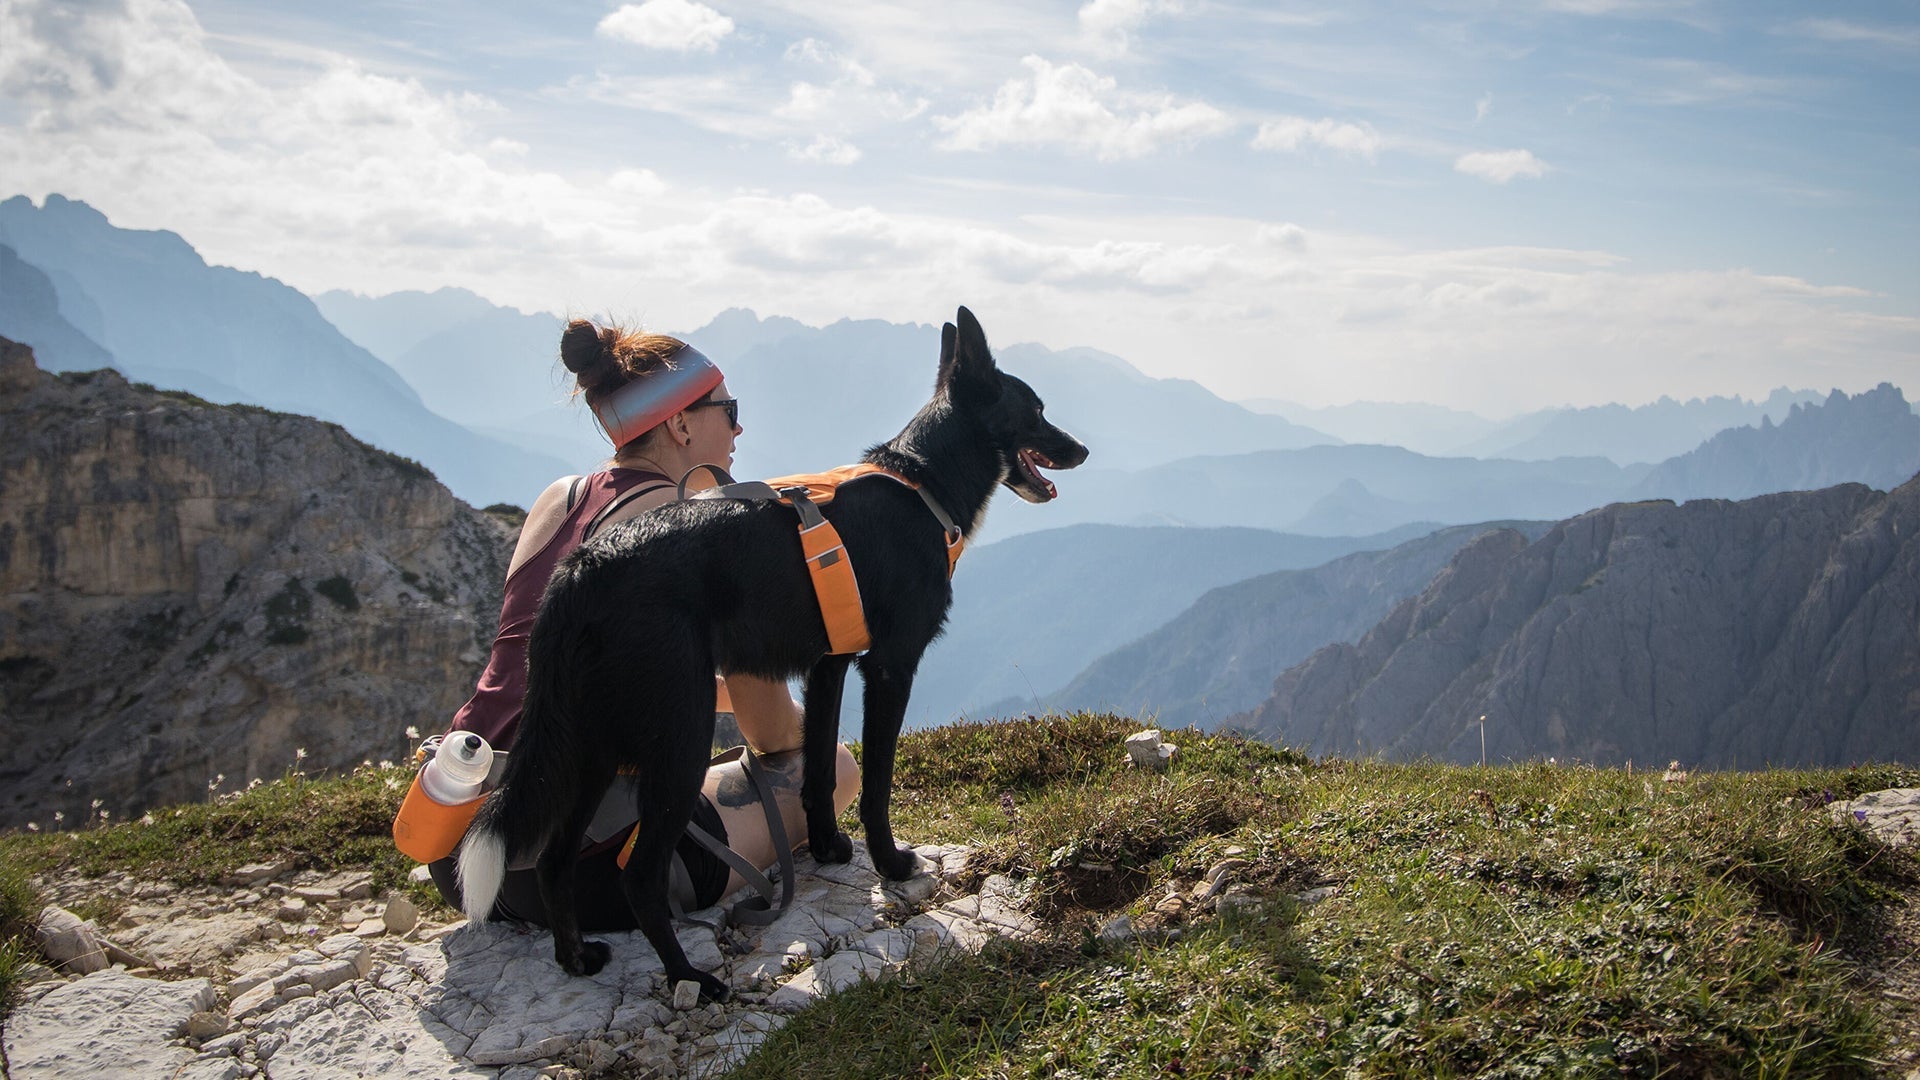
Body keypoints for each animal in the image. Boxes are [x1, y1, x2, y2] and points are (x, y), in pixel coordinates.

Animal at [458, 307, 1090, 999]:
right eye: (1035, 410)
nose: (1082, 449)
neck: (921, 480)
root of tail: (581, 569)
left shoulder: (828, 667)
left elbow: (817, 773)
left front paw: (829, 848)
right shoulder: (889, 667)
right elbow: (876, 784)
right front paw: (891, 863)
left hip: (593, 749)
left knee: (555, 859)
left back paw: (576, 958)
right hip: (677, 740)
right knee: (639, 876)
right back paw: (689, 978)